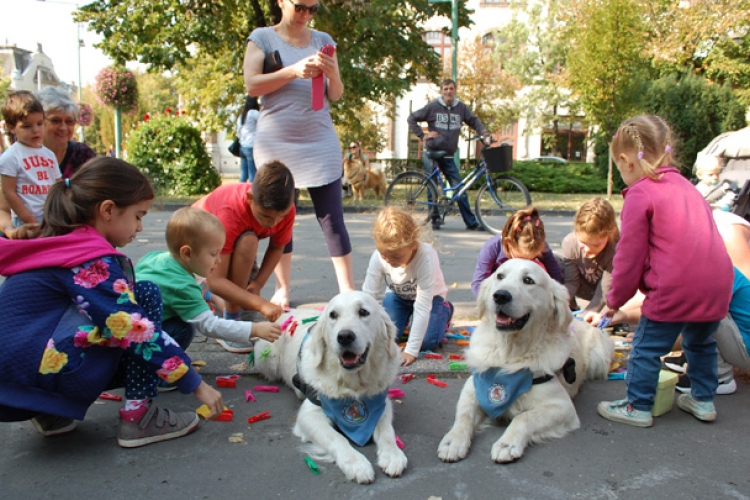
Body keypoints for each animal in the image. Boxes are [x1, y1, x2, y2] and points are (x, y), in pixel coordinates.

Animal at [251, 292, 406, 482]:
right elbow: (337, 438)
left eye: (363, 312)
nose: (345, 336)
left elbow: (387, 432)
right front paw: (356, 464)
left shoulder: (381, 402)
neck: (352, 383)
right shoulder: (309, 414)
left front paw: (393, 455)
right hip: (268, 358)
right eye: (333, 315)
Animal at [438, 260, 612, 462]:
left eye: (528, 280)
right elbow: (464, 416)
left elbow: (524, 418)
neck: (510, 353)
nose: (500, 296)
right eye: (500, 276)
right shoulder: (473, 387)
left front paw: (507, 444)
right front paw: (453, 441)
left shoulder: (563, 406)